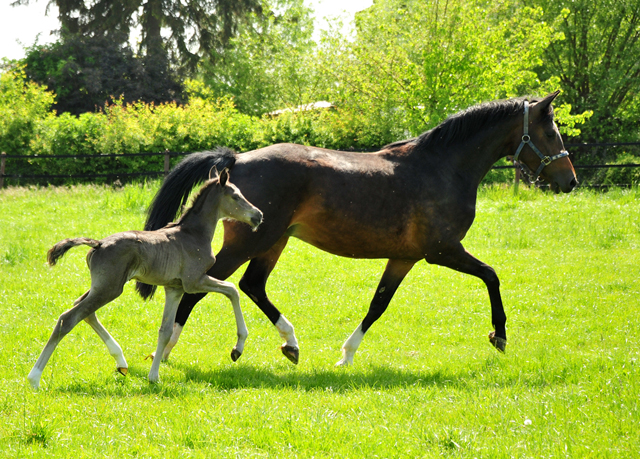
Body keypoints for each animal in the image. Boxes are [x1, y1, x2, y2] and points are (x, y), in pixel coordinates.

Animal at [26, 170, 262, 392]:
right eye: (236, 196)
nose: (258, 215)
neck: (193, 234)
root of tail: (98, 244)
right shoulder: (194, 281)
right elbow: (232, 290)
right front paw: (237, 348)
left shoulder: (174, 288)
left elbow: (165, 331)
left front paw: (154, 376)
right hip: (110, 288)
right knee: (68, 318)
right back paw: (34, 378)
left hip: (101, 287)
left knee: (83, 310)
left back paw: (121, 362)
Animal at [139, 92, 576, 366]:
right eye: (550, 132)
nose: (570, 181)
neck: (443, 167)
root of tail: (237, 161)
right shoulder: (442, 251)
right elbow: (491, 275)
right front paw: (499, 335)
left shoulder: (404, 257)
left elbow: (378, 304)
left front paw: (347, 354)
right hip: (250, 242)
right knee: (203, 288)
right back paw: (170, 350)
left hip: (273, 240)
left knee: (252, 286)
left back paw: (291, 344)